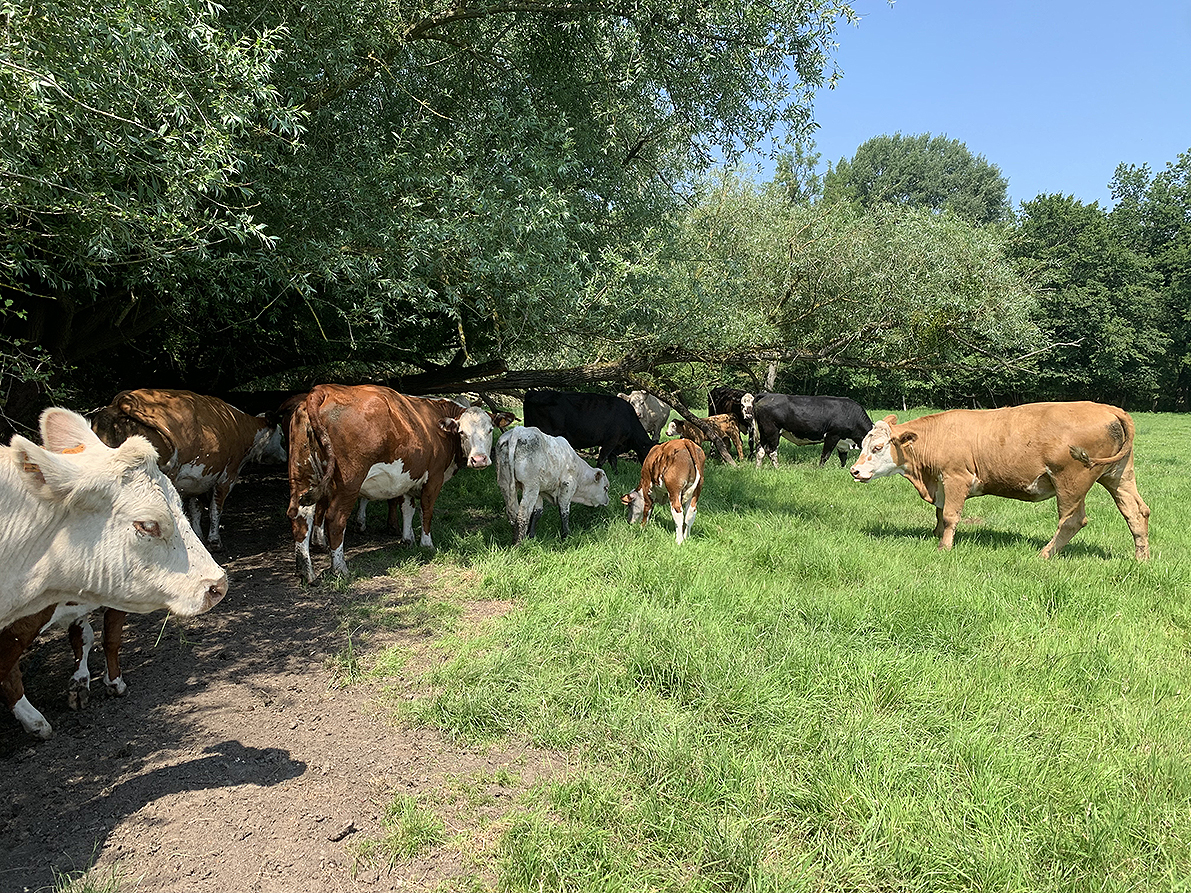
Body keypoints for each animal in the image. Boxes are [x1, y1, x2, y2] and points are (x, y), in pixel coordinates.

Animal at [0, 408, 226, 735]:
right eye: (148, 524)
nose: (218, 584)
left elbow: (82, 636)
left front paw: (80, 684)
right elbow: (110, 637)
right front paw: (114, 682)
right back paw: (35, 721)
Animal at [92, 388, 287, 551]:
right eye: (280, 434)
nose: (285, 455)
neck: (239, 428)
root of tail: (125, 400)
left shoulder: (198, 479)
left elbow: (196, 508)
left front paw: (199, 536)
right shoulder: (227, 477)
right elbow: (216, 508)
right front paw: (214, 541)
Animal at [287, 384, 513, 582]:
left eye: (490, 429)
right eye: (462, 432)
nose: (479, 460)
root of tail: (323, 390)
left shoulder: (409, 476)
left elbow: (407, 508)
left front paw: (407, 538)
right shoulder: (434, 477)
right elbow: (426, 510)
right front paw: (426, 543)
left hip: (303, 477)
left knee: (300, 515)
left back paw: (306, 572)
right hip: (348, 483)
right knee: (335, 519)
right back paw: (340, 568)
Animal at [743, 393, 873, 468]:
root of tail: (767, 394)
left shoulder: (843, 442)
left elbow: (843, 458)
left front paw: (842, 469)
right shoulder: (832, 435)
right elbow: (825, 455)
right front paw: (820, 469)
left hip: (763, 432)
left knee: (760, 450)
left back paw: (758, 469)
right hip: (772, 431)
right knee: (771, 451)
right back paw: (777, 468)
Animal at [849, 402, 1151, 559]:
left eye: (878, 447)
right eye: (862, 445)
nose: (855, 471)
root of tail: (1108, 408)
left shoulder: (956, 477)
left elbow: (949, 515)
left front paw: (944, 547)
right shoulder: (942, 483)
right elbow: (939, 512)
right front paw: (935, 534)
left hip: (1071, 482)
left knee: (1073, 521)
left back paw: (1045, 554)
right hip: (1119, 476)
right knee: (1137, 513)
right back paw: (1141, 558)